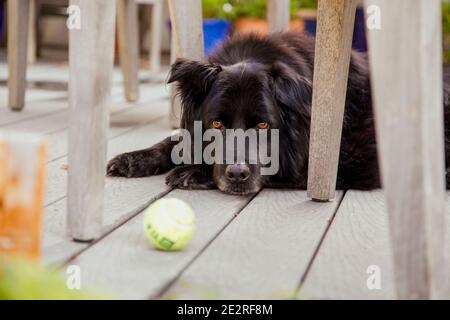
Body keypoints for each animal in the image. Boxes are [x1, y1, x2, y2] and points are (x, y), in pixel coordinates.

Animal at [106, 31, 450, 195]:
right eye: (216, 124)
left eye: (262, 125)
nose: (238, 175)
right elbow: (173, 142)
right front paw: (133, 158)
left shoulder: (348, 157)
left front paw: (192, 173)